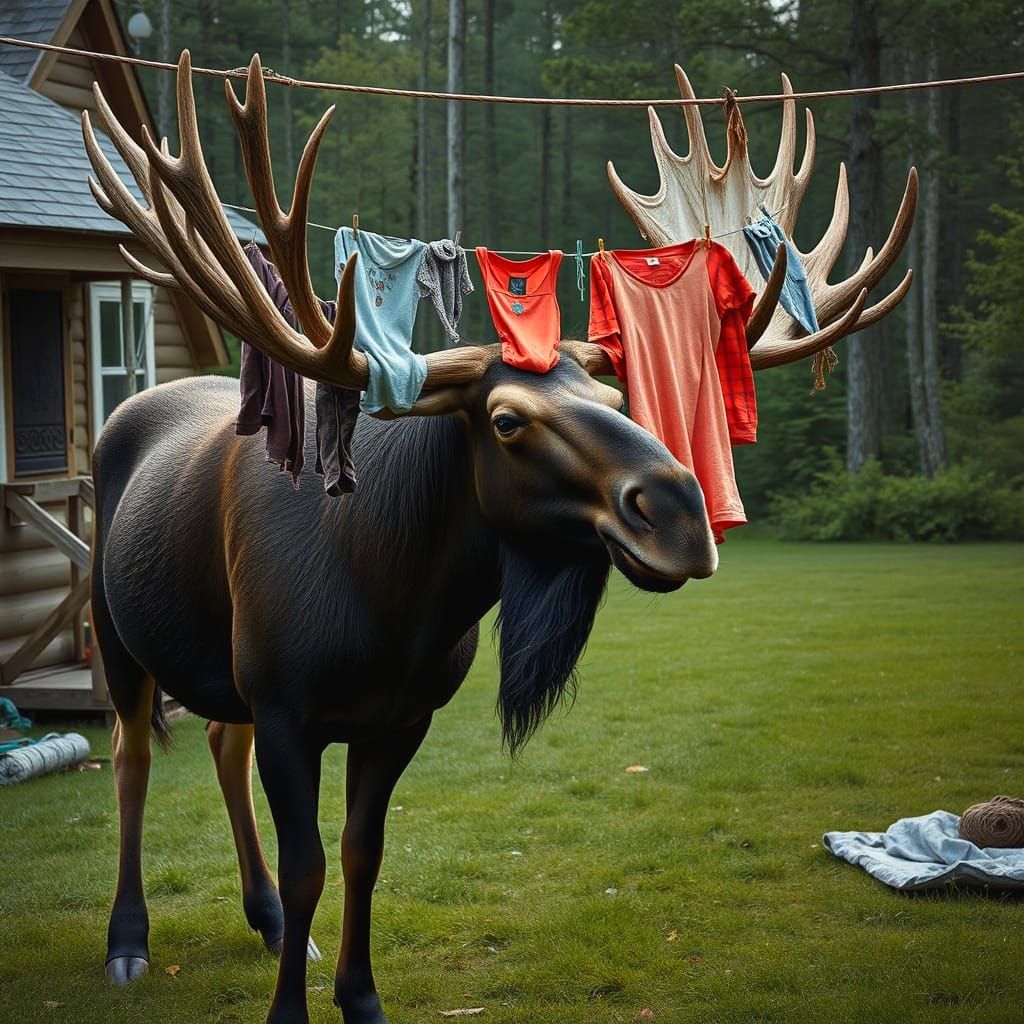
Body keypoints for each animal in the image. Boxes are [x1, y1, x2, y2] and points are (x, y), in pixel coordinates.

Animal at [80, 53, 916, 1024]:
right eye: (507, 420)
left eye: (619, 397)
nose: (681, 513)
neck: (394, 604)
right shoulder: (288, 707)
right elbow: (310, 864)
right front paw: (292, 1008)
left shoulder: (401, 717)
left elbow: (362, 857)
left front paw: (360, 996)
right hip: (115, 632)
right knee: (133, 757)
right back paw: (127, 942)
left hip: (223, 662)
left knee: (219, 740)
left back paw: (267, 923)